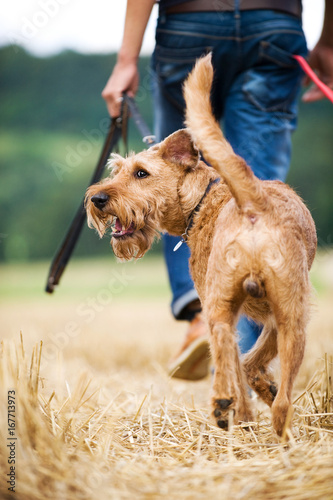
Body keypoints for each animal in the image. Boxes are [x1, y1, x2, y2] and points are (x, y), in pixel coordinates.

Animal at [85, 55, 316, 438]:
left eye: (141, 173)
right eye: (116, 170)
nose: (97, 198)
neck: (204, 199)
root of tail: (255, 201)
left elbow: (243, 363)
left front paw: (247, 407)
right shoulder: (273, 316)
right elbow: (251, 362)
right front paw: (256, 400)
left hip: (235, 303)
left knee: (223, 346)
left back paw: (227, 407)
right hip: (286, 315)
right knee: (276, 394)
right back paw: (267, 427)